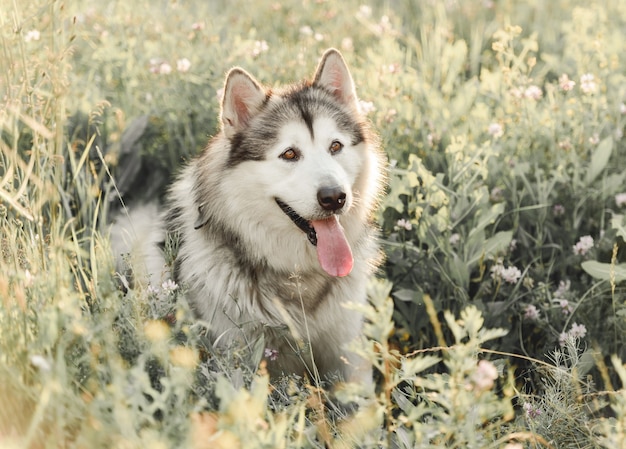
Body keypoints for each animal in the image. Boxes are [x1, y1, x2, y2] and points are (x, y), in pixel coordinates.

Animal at [112, 50, 386, 384]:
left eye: (335, 146)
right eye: (290, 154)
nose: (334, 197)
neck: (297, 278)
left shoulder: (348, 353)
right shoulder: (237, 358)